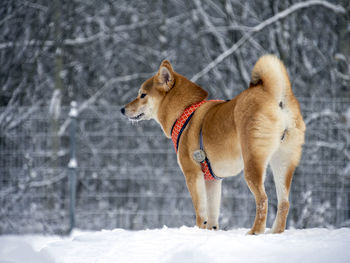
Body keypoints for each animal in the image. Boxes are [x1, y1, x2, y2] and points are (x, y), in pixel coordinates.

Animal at [121, 55, 304, 235]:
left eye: (142, 95)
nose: (122, 110)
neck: (184, 112)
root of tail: (274, 96)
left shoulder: (193, 175)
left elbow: (201, 212)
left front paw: (199, 230)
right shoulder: (213, 181)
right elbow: (213, 213)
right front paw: (211, 231)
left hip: (253, 164)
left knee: (263, 199)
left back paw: (255, 231)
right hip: (282, 163)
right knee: (284, 203)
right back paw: (276, 231)